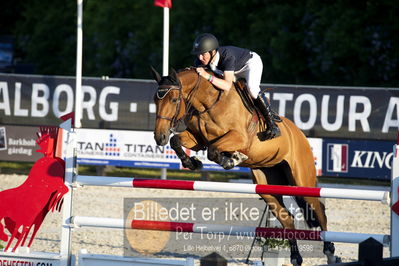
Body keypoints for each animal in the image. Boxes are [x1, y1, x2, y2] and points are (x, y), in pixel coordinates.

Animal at [152, 67, 342, 264]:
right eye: (155, 100)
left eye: (174, 100)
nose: (159, 137)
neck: (210, 103)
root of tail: (300, 134)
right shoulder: (198, 140)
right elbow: (177, 141)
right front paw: (192, 162)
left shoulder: (238, 138)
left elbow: (213, 150)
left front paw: (232, 159)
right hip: (267, 185)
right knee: (287, 217)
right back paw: (296, 257)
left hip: (302, 181)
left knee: (319, 211)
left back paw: (330, 252)